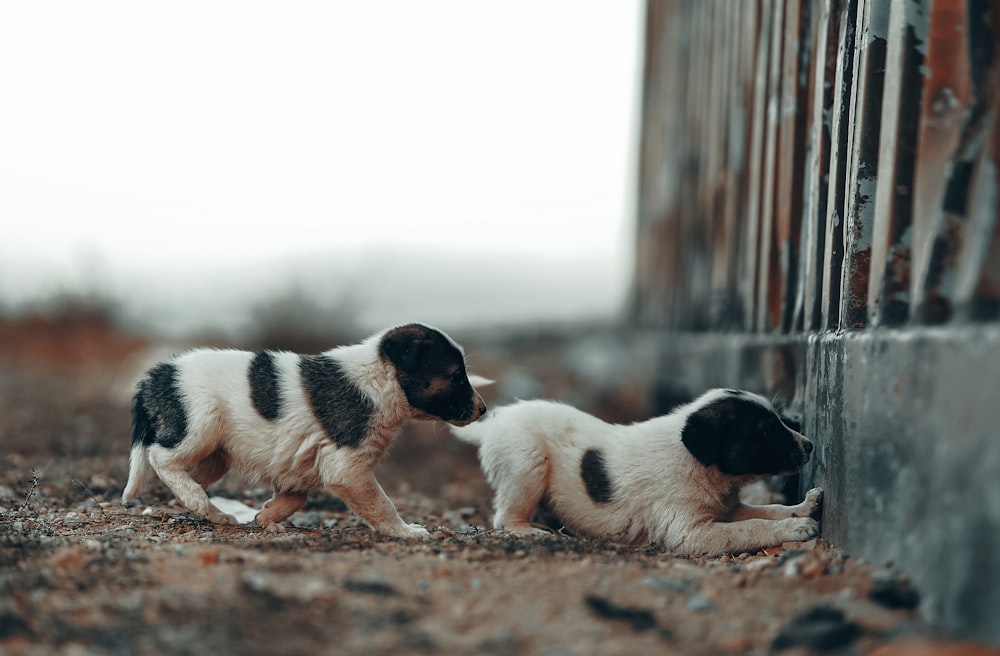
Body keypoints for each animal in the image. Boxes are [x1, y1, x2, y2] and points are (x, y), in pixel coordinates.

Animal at [123, 322, 490, 540]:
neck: (379, 380)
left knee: (187, 475)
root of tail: (154, 376)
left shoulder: (303, 465)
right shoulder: (348, 468)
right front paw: (405, 532)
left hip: (216, 455)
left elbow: (296, 496)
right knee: (162, 459)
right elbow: (382, 504)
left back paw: (212, 511)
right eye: (456, 376)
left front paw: (267, 516)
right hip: (200, 426)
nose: (483, 410)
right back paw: (199, 501)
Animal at [454, 386, 820, 556]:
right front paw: (796, 528)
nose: (810, 445)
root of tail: (490, 427)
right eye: (765, 431)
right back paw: (530, 531)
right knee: (505, 518)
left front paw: (803, 508)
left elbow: (767, 510)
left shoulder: (727, 508)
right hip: (527, 462)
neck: (695, 461)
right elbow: (750, 528)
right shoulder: (691, 534)